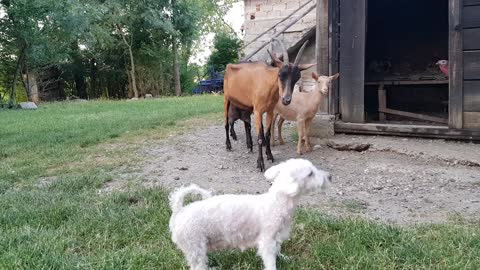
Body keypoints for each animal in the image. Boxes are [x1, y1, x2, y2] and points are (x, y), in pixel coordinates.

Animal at [168, 158, 330, 270]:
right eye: (310, 173)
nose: (330, 176)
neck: (276, 203)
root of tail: (179, 210)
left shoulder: (276, 236)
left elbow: (277, 250)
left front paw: (284, 258)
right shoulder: (267, 240)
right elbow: (270, 259)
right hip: (195, 246)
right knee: (198, 266)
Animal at [223, 39, 314, 171]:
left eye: (297, 77)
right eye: (280, 74)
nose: (286, 100)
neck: (267, 83)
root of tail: (229, 66)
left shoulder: (270, 110)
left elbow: (267, 133)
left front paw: (270, 155)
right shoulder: (258, 111)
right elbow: (260, 137)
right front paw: (260, 163)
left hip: (246, 106)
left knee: (246, 124)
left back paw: (249, 146)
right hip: (226, 99)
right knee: (226, 123)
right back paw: (228, 145)